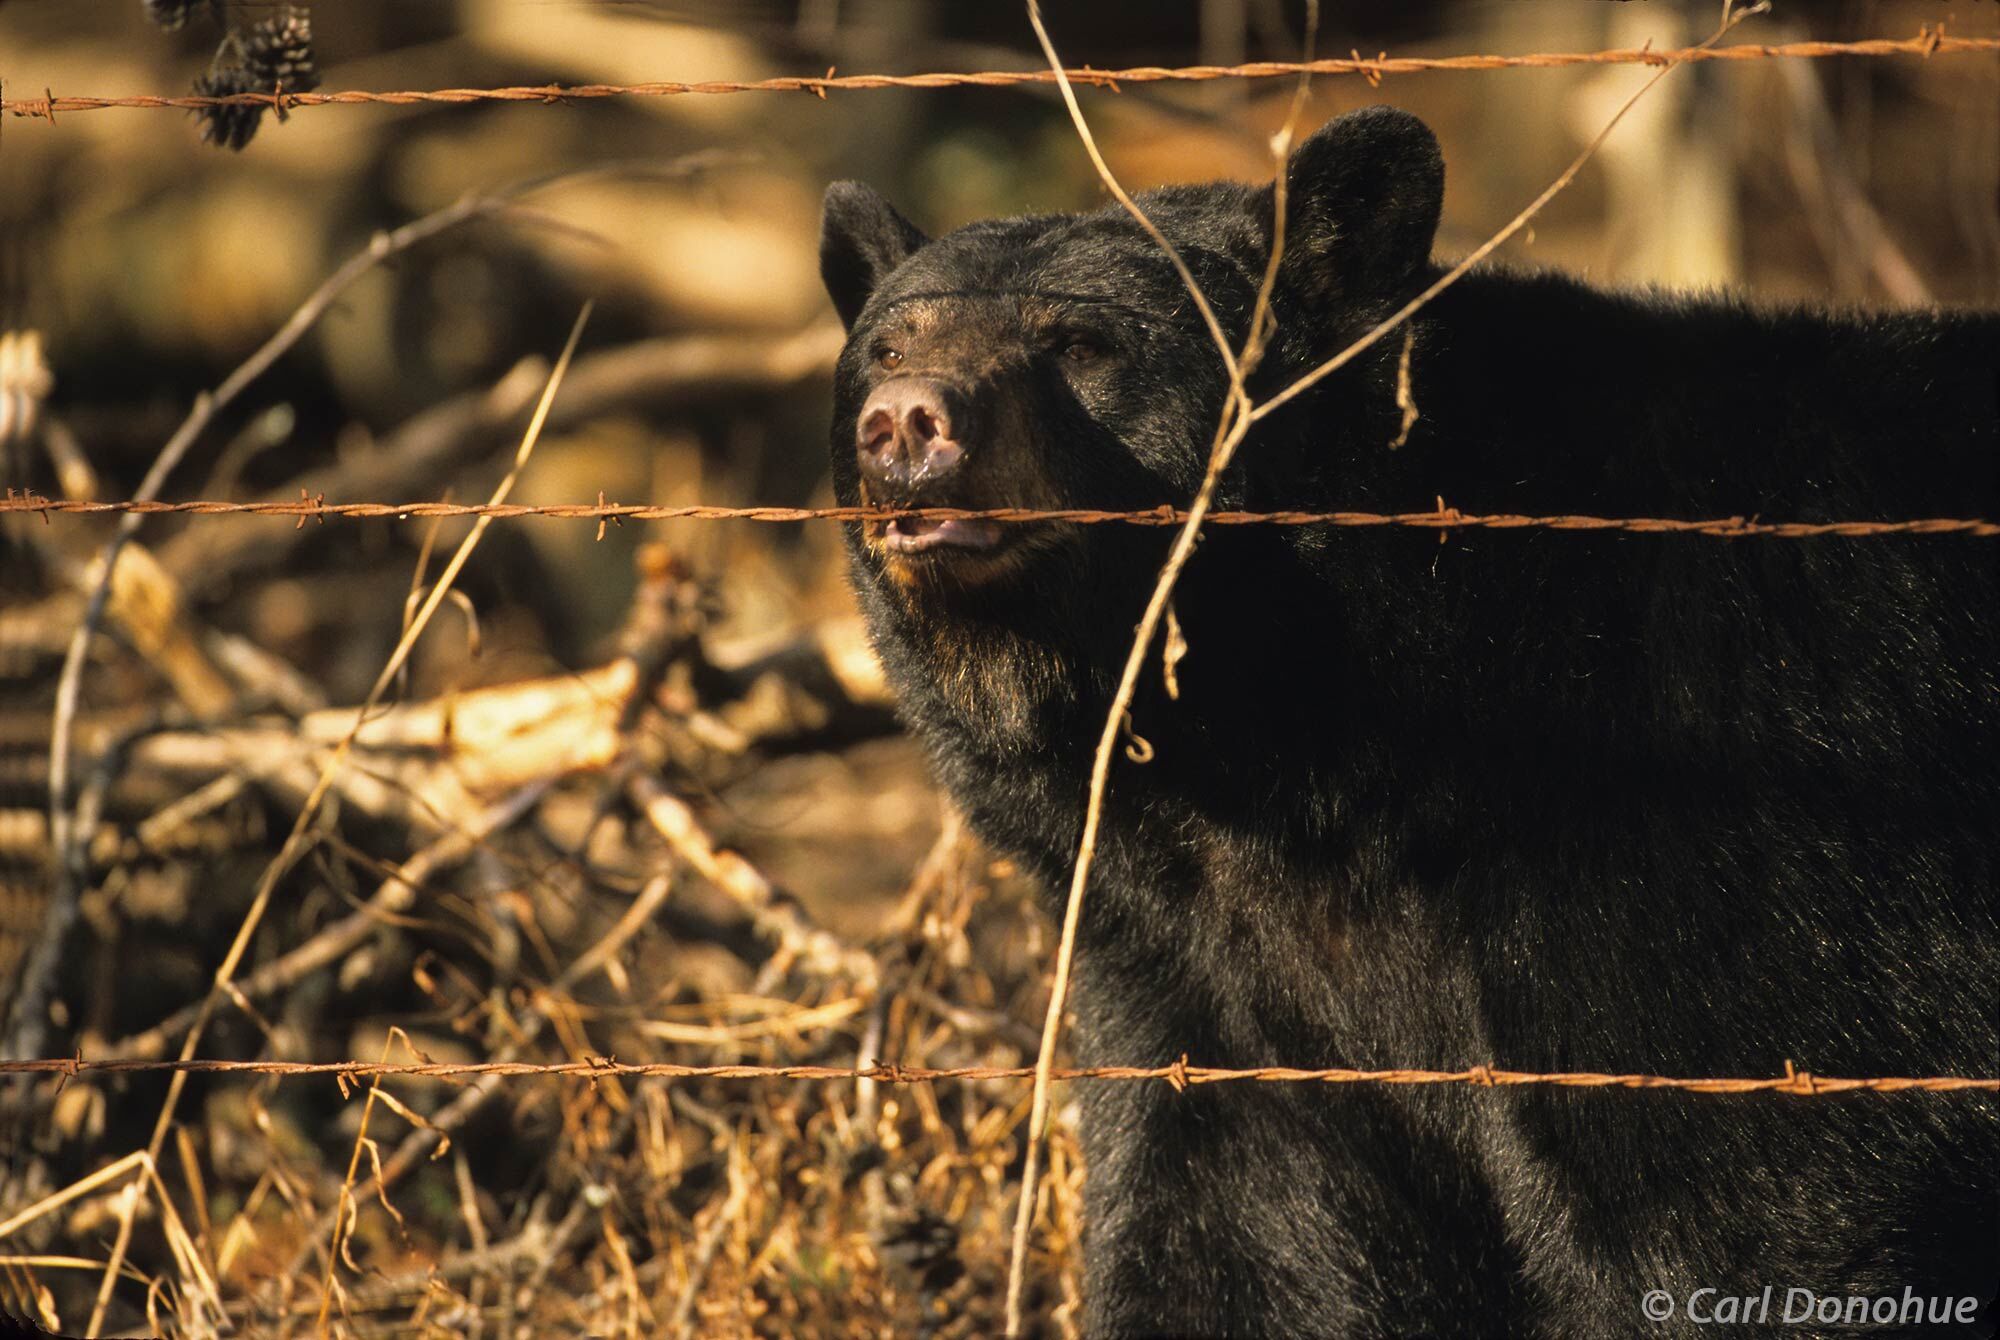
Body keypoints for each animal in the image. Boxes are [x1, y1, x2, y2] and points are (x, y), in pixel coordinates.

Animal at [812, 110, 2000, 1336]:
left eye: (1080, 342)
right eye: (887, 347)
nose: (907, 423)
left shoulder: (1718, 834)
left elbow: (1738, 1192)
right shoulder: (1207, 972)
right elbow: (1240, 1228)